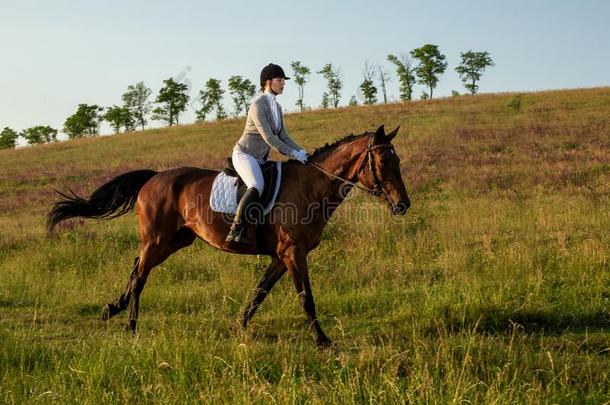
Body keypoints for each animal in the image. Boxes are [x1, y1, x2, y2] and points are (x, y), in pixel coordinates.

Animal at [46, 124, 408, 348]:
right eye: (382, 159)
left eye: (398, 160)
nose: (403, 204)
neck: (311, 186)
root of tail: (153, 177)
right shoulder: (293, 253)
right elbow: (306, 297)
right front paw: (323, 341)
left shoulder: (281, 257)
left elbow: (259, 293)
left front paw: (237, 327)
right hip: (158, 240)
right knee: (139, 276)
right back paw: (130, 326)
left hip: (175, 240)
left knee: (136, 265)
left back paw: (113, 308)